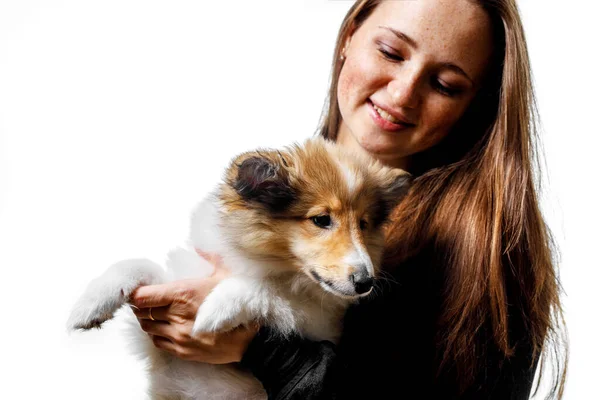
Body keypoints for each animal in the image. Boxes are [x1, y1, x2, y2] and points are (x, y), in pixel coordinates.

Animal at [67, 136, 412, 398]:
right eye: (321, 220)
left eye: (364, 224)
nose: (365, 283)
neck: (269, 265)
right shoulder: (162, 343)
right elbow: (139, 265)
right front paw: (91, 304)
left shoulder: (319, 321)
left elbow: (275, 296)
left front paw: (215, 308)